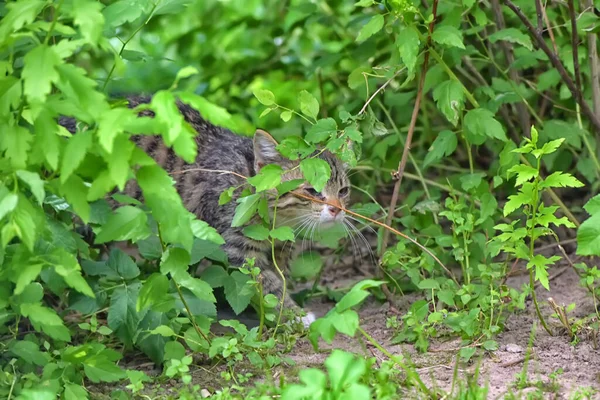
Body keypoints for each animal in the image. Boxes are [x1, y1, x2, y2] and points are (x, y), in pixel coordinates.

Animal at [58, 95, 350, 326]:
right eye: (311, 190)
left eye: (344, 191)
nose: (337, 210)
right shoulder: (235, 246)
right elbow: (267, 283)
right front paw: (291, 314)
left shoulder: (281, 247)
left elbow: (279, 277)